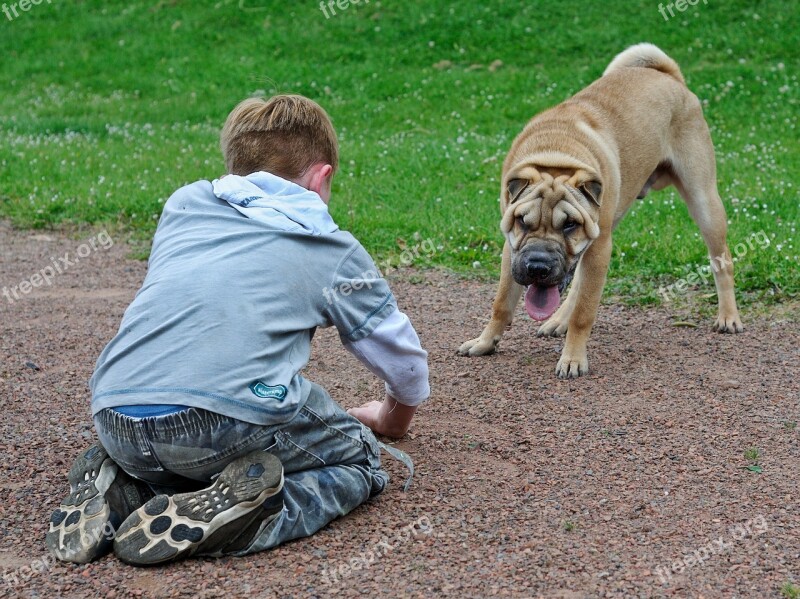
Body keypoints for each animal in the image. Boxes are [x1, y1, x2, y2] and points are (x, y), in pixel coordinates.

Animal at [460, 44, 748, 378]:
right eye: (522, 221)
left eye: (569, 225)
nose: (538, 266)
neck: (557, 156)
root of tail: (669, 76)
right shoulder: (513, 249)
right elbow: (502, 303)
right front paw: (485, 342)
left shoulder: (599, 247)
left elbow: (584, 313)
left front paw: (573, 358)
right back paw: (557, 320)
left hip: (704, 201)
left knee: (722, 261)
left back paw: (728, 316)